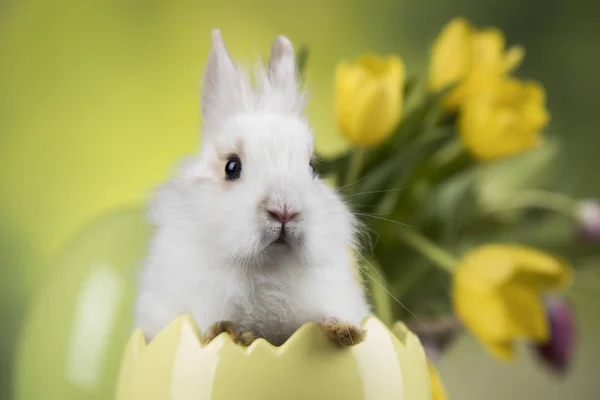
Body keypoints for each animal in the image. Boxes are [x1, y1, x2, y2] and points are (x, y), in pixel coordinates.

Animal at [134, 28, 372, 346]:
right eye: (231, 167)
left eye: (312, 167)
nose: (284, 211)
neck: (270, 268)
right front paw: (230, 331)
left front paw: (345, 332)